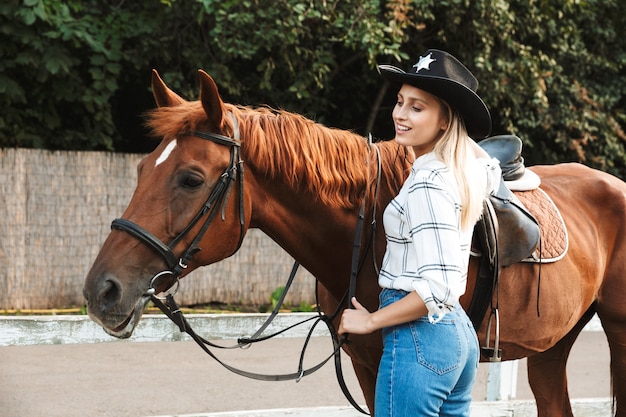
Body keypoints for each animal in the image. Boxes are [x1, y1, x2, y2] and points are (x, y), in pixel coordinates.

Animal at [84, 70, 624, 414]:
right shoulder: (367, 366)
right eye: (141, 169)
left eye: (191, 179)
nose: (101, 291)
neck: (368, 234)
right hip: (553, 346)